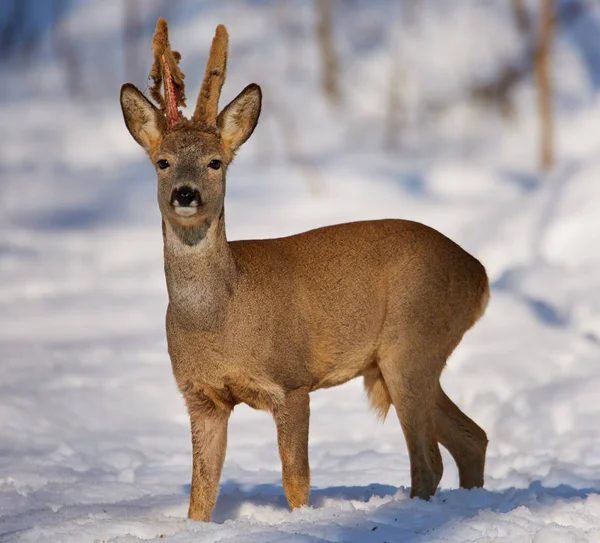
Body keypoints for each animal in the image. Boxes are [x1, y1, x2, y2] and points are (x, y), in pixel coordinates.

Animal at [120, 20, 488, 524]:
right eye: (163, 162)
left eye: (216, 162)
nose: (185, 193)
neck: (221, 315)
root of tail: (480, 275)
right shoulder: (201, 396)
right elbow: (201, 493)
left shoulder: (291, 380)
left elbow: (296, 480)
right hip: (404, 359)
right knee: (472, 438)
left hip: (413, 342)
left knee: (429, 460)